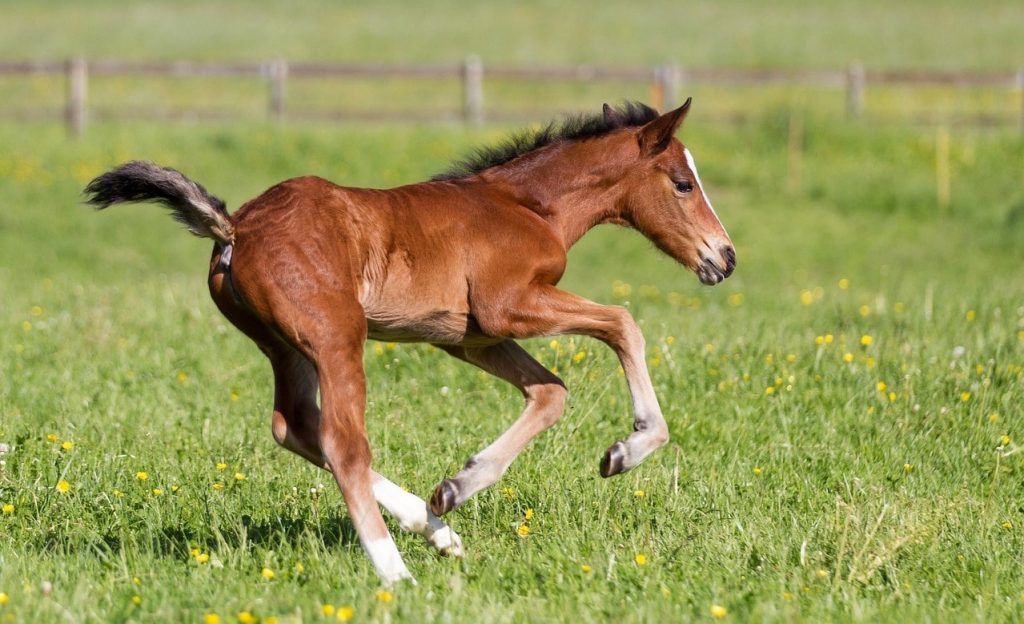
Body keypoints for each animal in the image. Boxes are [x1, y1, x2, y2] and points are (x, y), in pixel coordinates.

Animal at [81, 98, 737, 581]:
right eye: (683, 183)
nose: (724, 258)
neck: (528, 206)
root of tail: (235, 227)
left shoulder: (469, 338)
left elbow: (551, 392)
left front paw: (454, 488)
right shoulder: (508, 308)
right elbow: (623, 323)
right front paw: (629, 449)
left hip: (286, 347)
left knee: (296, 425)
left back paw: (437, 530)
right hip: (336, 337)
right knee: (343, 443)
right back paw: (395, 573)